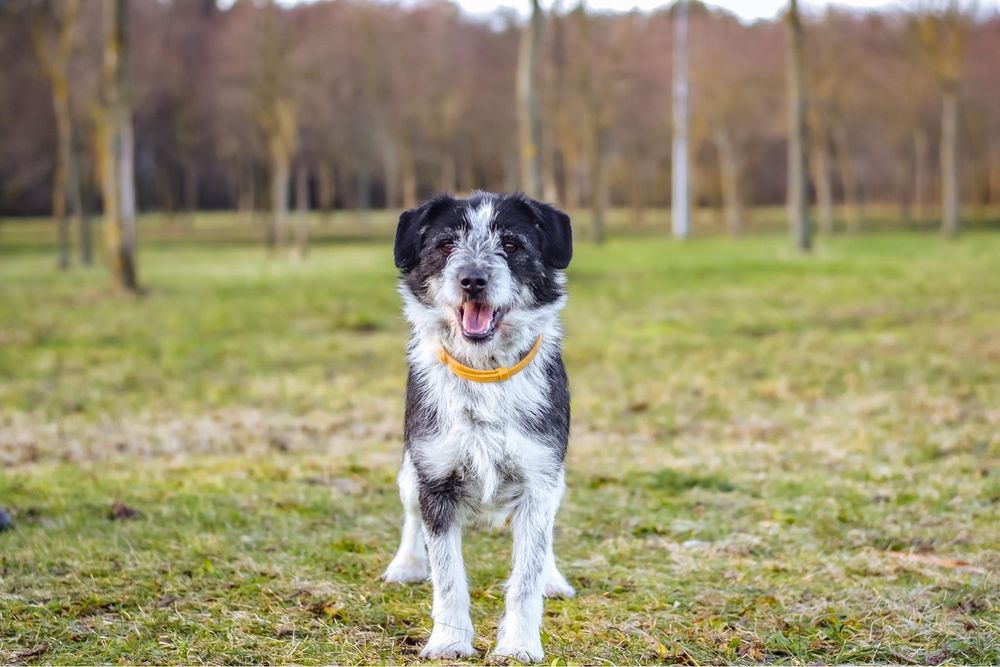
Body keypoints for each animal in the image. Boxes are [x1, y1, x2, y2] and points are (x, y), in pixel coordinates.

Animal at [380, 193, 576, 664]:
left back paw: (553, 578)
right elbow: (448, 577)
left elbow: (526, 577)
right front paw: (448, 642)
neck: (484, 373)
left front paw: (520, 646)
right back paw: (406, 564)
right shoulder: (434, 481)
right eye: (447, 243)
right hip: (409, 473)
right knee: (410, 516)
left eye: (511, 243)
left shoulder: (540, 478)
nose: (472, 279)